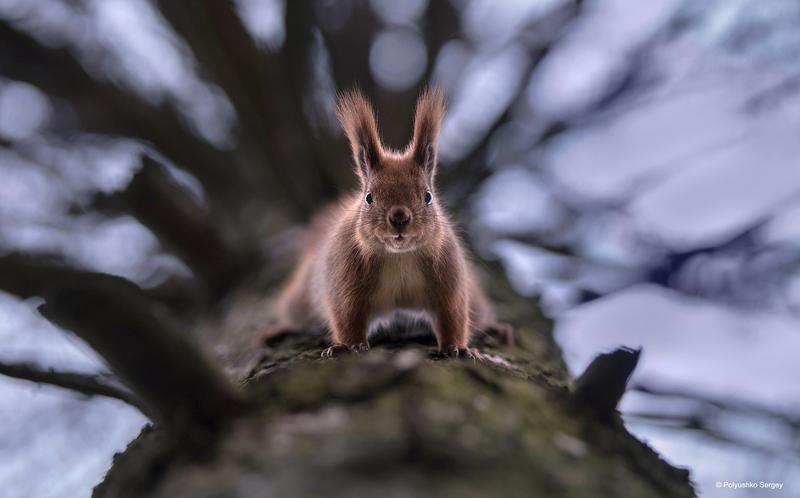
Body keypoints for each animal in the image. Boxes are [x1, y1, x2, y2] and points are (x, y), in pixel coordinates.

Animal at [262, 86, 512, 358]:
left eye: (428, 196)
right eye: (369, 197)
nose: (399, 218)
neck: (399, 256)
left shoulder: (449, 274)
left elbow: (453, 315)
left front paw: (457, 347)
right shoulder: (345, 277)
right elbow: (346, 316)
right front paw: (347, 345)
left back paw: (496, 328)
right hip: (302, 298)